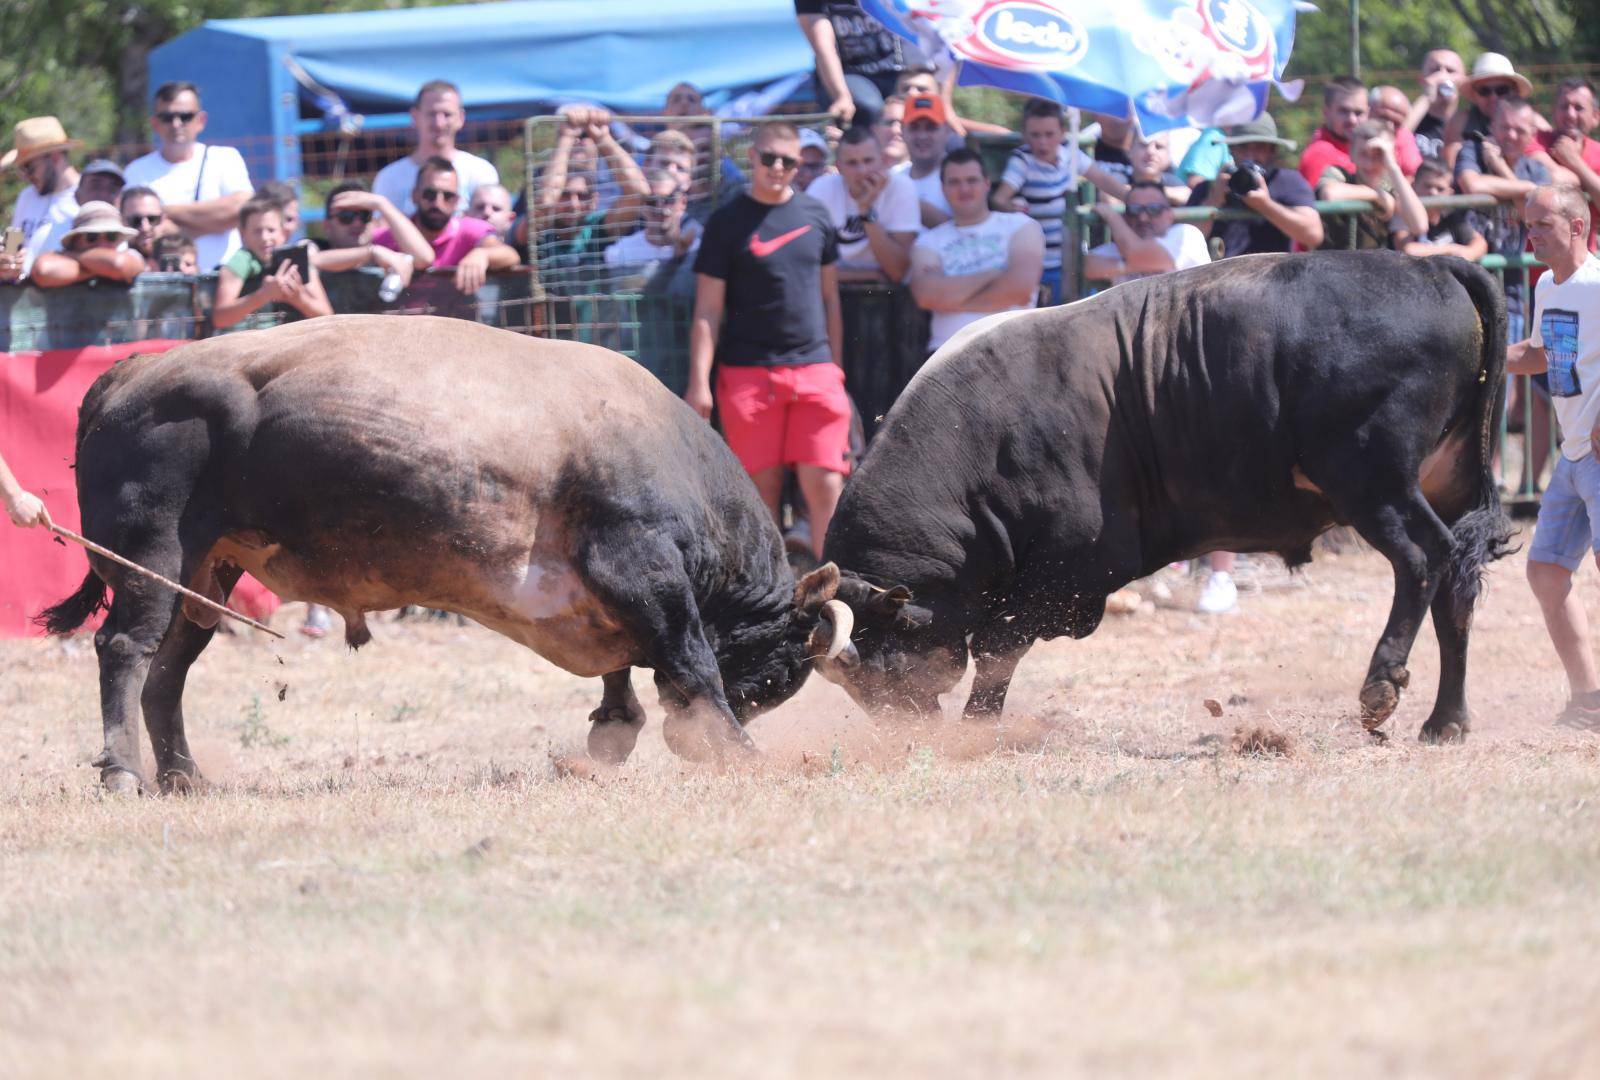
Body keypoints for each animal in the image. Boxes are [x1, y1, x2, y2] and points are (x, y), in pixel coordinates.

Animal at [825, 252, 1510, 742]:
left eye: (879, 662)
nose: (902, 734)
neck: (980, 442)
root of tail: (1432, 266)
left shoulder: (1067, 570)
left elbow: (999, 648)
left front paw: (975, 729)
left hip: (1374, 482)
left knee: (1422, 558)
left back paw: (1381, 685)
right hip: (1440, 485)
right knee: (1455, 586)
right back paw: (1446, 720)